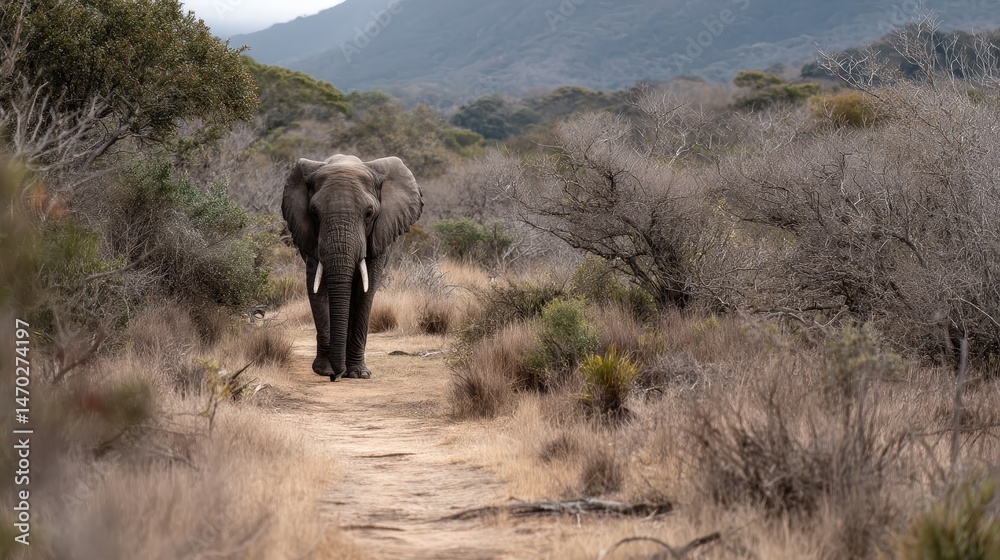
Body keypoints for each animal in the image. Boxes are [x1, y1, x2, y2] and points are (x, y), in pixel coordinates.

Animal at [282, 154, 422, 382]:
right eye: (314, 213)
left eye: (369, 213)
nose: (335, 376)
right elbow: (317, 288)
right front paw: (325, 370)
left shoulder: (378, 238)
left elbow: (366, 291)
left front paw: (359, 374)